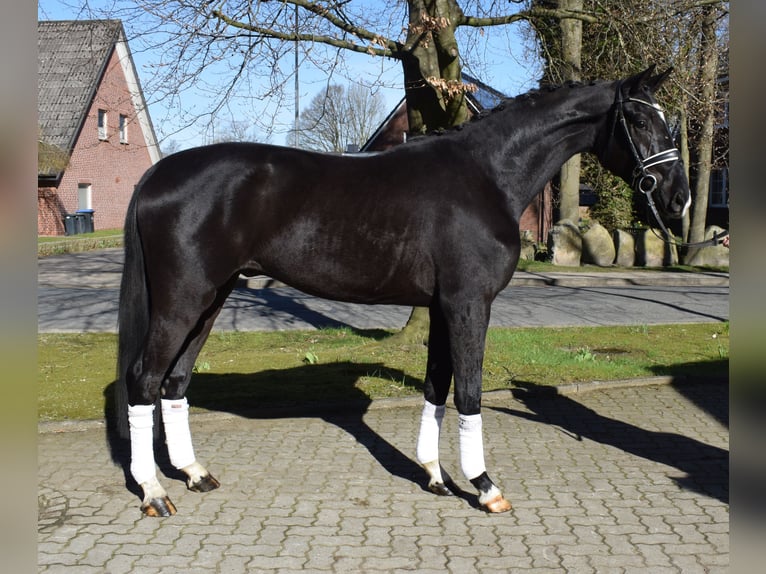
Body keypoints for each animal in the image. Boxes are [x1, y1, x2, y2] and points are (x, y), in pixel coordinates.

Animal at [116, 66, 691, 517]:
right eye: (641, 120)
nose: (679, 198)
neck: (487, 175)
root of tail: (157, 174)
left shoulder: (441, 307)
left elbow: (436, 387)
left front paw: (435, 475)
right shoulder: (468, 304)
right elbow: (468, 392)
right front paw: (485, 487)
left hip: (211, 300)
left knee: (174, 382)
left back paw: (194, 473)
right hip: (183, 300)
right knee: (143, 380)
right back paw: (154, 492)